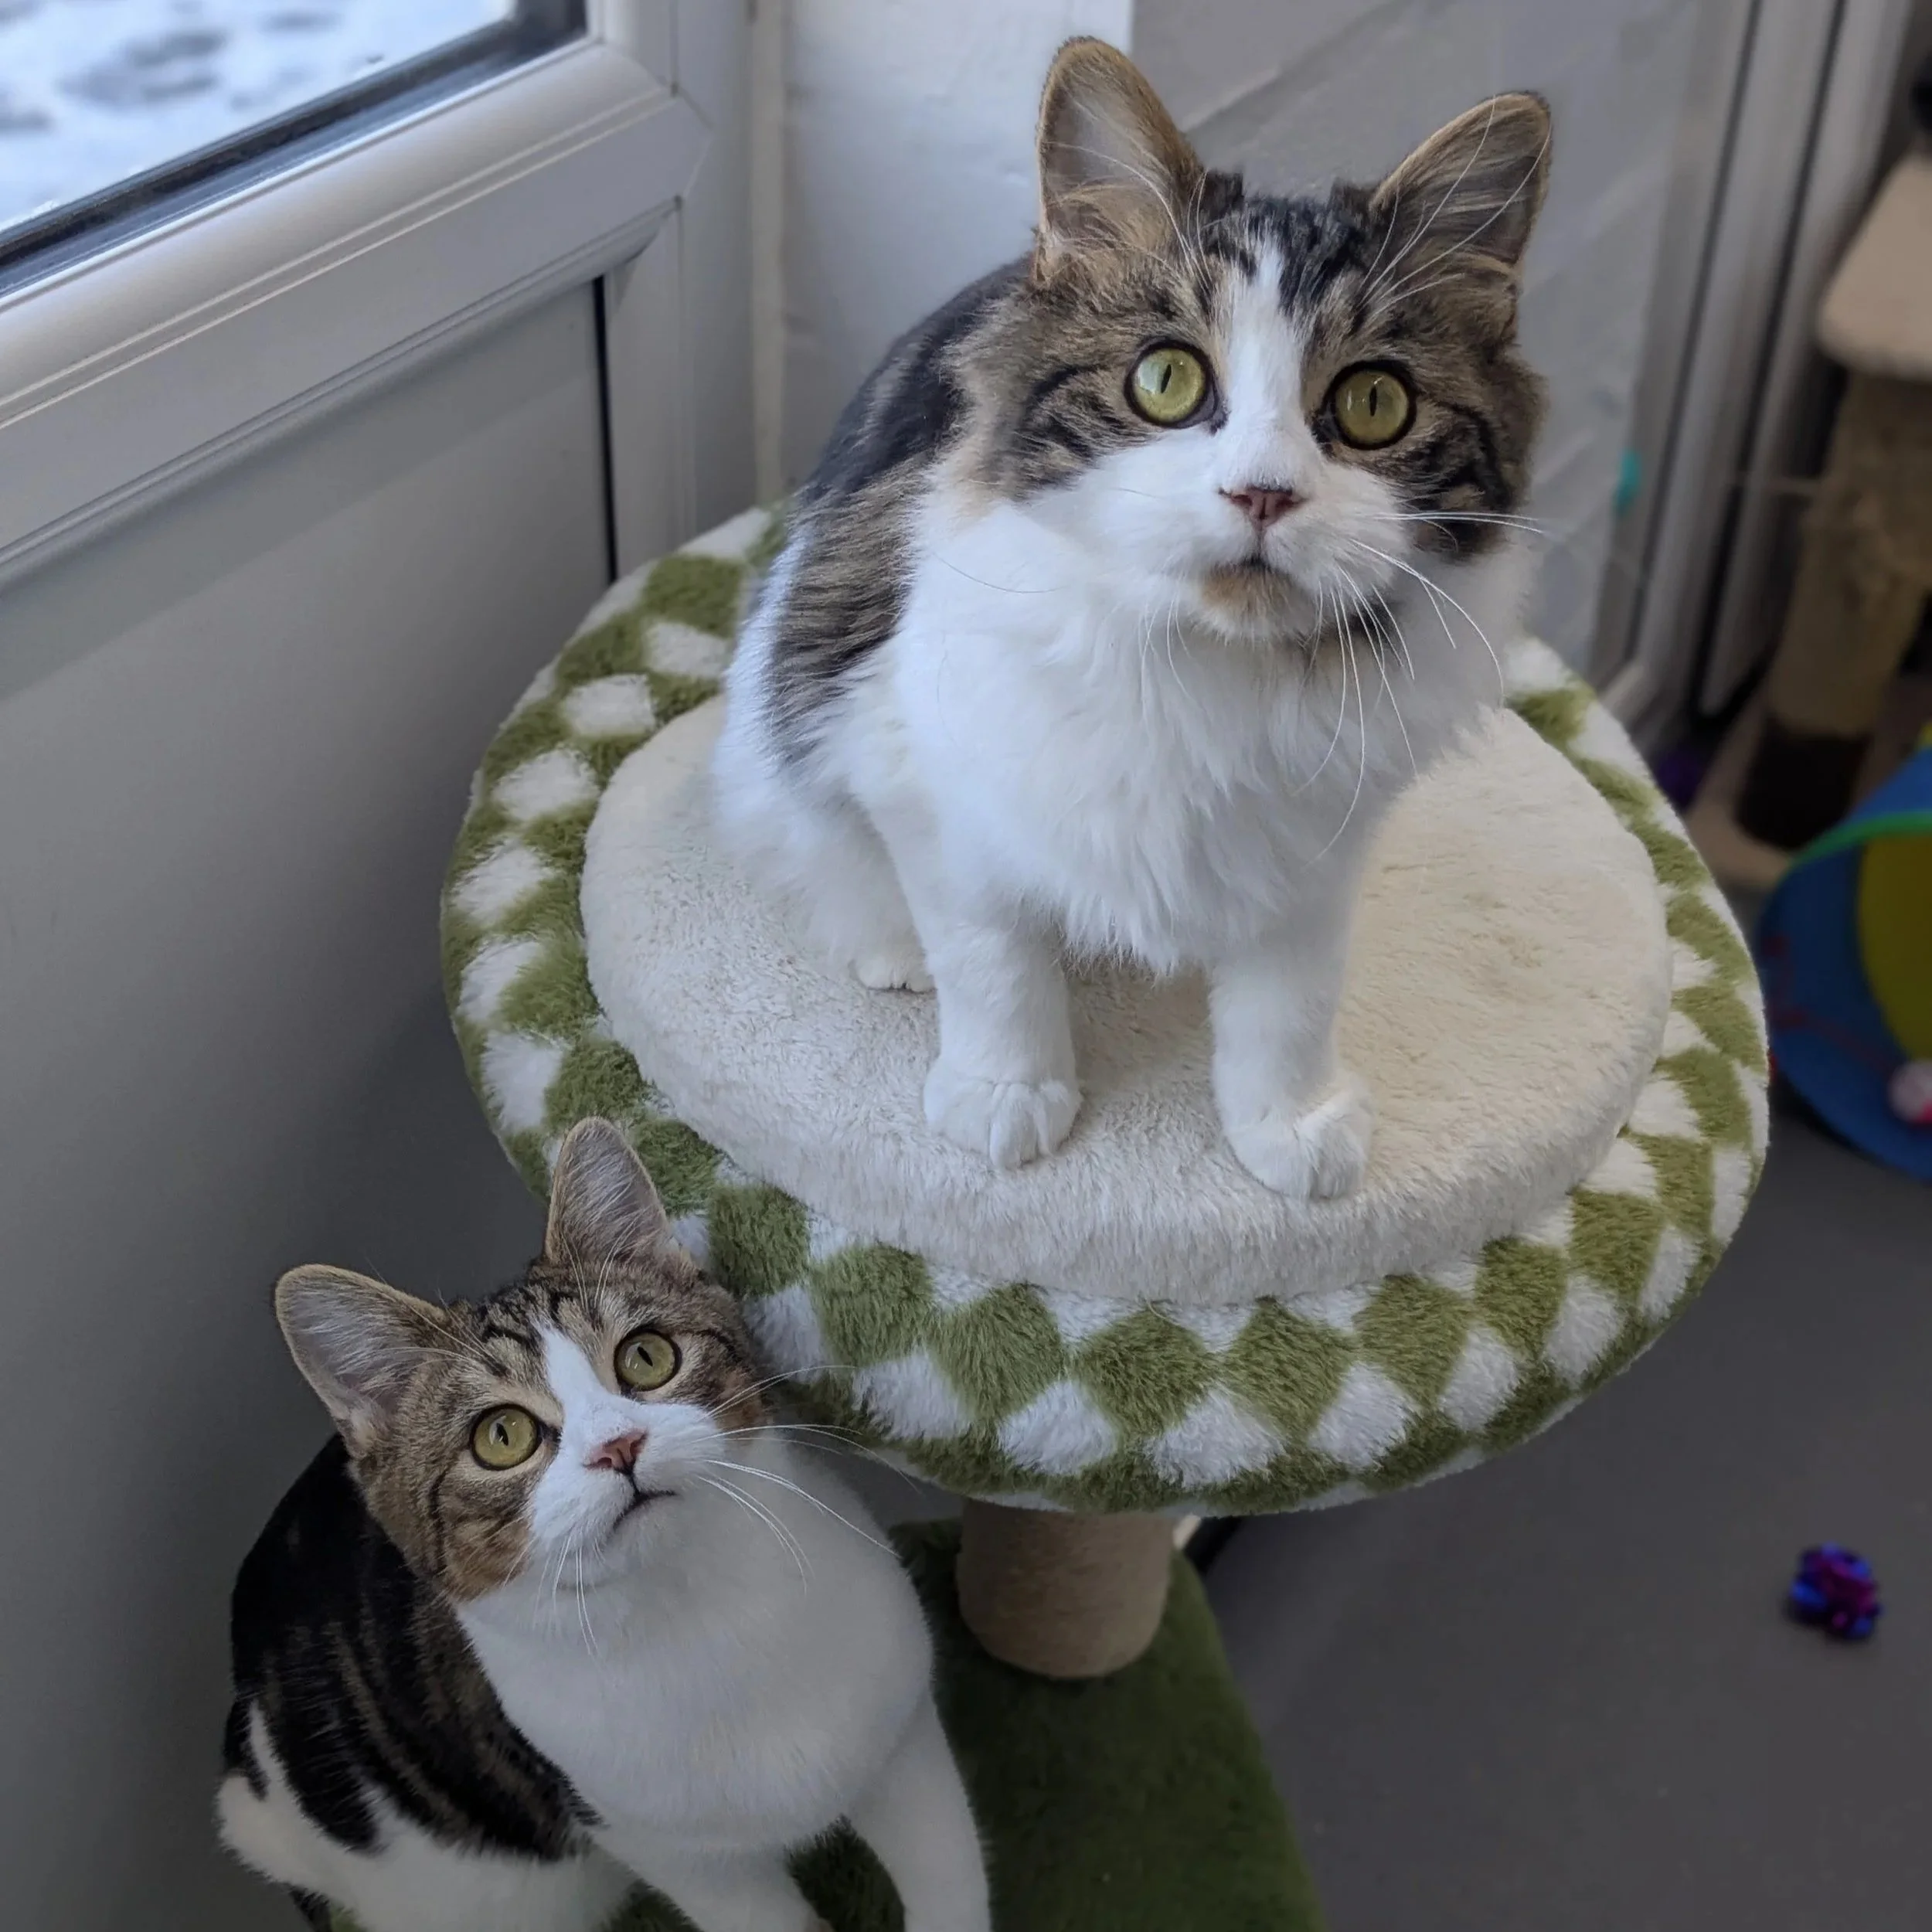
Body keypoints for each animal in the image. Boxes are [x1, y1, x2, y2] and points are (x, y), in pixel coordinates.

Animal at [217, 1118, 991, 1932]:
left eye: (647, 1356)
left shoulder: (902, 1736)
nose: (618, 1446)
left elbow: (947, 1878)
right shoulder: (665, 1845)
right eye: (502, 1436)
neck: (699, 1614)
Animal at [713, 37, 1549, 1199]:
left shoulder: (1315, 850)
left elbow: (1291, 1004)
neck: (1209, 671)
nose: (1262, 494)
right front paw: (1007, 1094)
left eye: (1373, 405)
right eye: (1166, 381)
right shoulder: (934, 782)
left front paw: (1289, 1126)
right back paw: (892, 953)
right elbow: (994, 962)